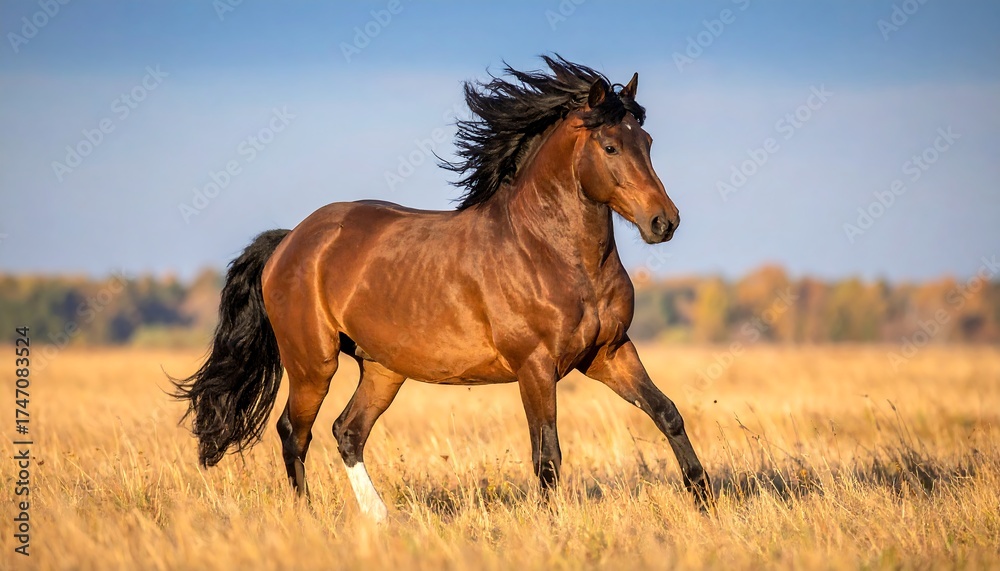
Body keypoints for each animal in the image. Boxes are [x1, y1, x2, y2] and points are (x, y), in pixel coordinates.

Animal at [173, 56, 712, 522]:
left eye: (647, 140)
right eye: (610, 146)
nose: (664, 222)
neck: (553, 252)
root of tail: (291, 241)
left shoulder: (609, 353)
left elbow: (667, 413)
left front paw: (705, 499)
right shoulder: (535, 367)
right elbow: (547, 455)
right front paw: (551, 523)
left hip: (382, 369)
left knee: (348, 432)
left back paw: (381, 519)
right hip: (312, 364)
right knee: (294, 432)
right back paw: (308, 518)